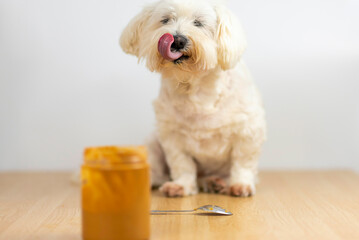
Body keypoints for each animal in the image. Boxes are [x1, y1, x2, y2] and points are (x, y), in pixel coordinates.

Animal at [119, 0, 266, 197]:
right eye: (165, 20)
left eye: (199, 23)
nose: (177, 40)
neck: (195, 87)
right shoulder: (172, 136)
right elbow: (182, 164)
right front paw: (181, 185)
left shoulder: (248, 130)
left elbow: (243, 162)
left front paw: (241, 185)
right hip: (153, 143)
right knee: (157, 171)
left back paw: (216, 182)